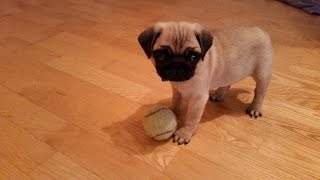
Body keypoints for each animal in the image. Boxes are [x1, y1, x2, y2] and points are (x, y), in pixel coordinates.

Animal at [138, 21, 272, 145]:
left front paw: (185, 133)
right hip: (229, 72)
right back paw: (219, 94)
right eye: (161, 56)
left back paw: (255, 107)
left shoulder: (198, 99)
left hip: (262, 74)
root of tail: (262, 31)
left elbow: (191, 118)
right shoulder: (177, 91)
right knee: (227, 83)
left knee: (260, 92)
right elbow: (176, 103)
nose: (177, 64)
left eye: (193, 57)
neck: (184, 82)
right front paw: (173, 114)